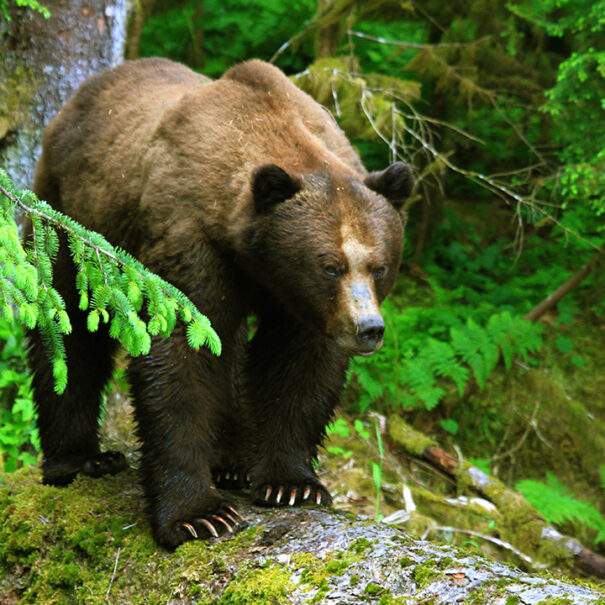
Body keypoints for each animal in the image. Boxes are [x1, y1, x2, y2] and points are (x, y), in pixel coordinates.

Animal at [30, 57, 412, 548]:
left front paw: (292, 484)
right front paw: (199, 515)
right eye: (330, 265)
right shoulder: (190, 243)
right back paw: (81, 459)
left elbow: (299, 366)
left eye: (378, 266)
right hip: (73, 219)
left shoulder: (298, 303)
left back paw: (231, 462)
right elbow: (178, 359)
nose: (368, 329)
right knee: (69, 328)